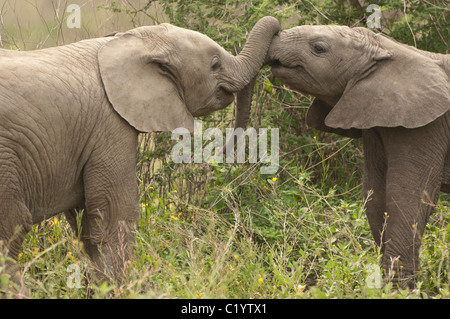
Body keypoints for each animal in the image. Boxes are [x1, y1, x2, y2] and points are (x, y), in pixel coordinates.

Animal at [0, 16, 282, 288]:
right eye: (214, 65)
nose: (217, 153)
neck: (132, 41)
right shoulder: (110, 124)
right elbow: (115, 215)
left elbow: (87, 225)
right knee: (12, 230)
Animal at [234, 24, 448, 290]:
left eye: (319, 48)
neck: (387, 49)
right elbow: (375, 196)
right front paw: (384, 287)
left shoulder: (426, 126)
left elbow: (407, 198)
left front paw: (397, 291)